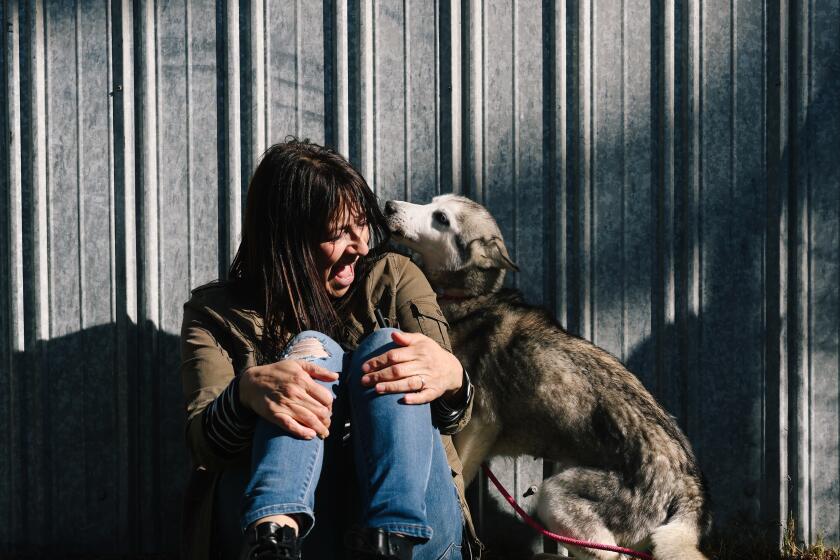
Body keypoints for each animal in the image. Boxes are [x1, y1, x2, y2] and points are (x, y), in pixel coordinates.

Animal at [386, 196, 708, 560]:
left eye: (441, 218)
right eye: (431, 203)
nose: (388, 205)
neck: (470, 300)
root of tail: (691, 487)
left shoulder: (479, 422)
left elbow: (459, 483)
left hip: (555, 498)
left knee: (612, 553)